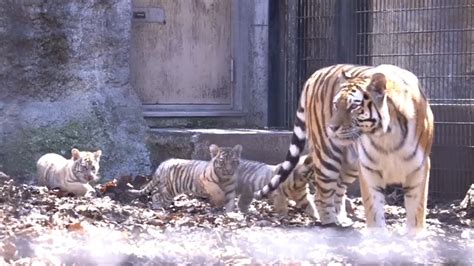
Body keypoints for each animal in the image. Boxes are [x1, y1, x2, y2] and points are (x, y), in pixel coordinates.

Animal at [256, 64, 434, 231]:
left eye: (353, 107)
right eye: (336, 104)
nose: (332, 127)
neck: (386, 136)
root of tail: (315, 73)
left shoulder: (419, 168)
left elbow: (417, 209)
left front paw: (414, 236)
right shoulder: (368, 169)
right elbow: (374, 209)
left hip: (350, 165)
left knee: (337, 190)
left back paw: (340, 219)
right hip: (327, 156)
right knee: (321, 195)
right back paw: (330, 224)